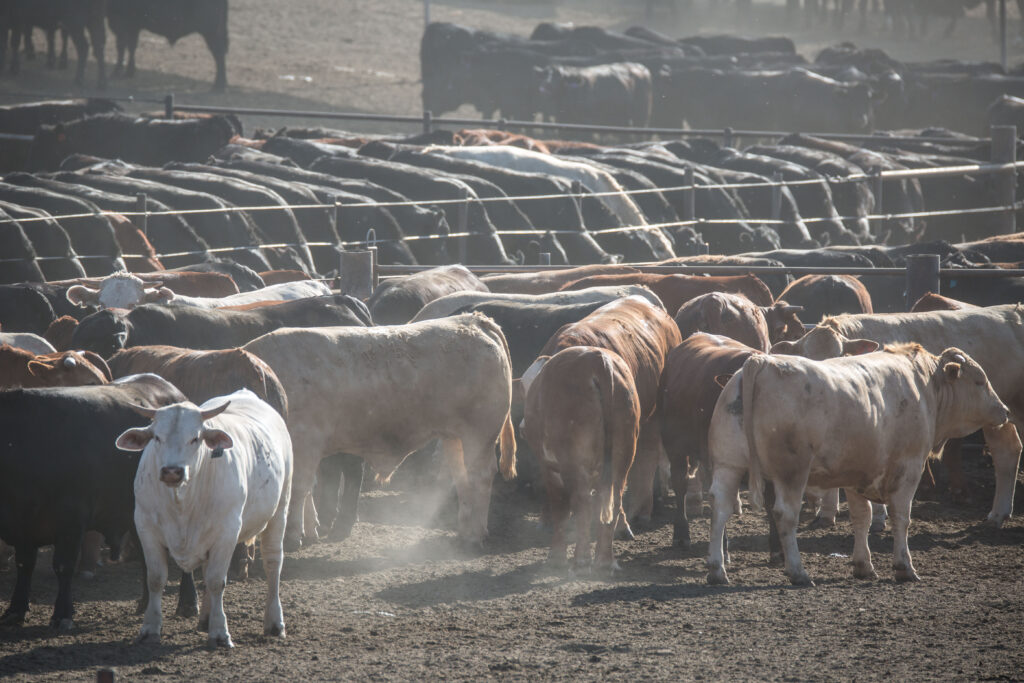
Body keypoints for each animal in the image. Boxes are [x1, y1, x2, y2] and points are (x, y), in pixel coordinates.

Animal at [0, 374, 186, 630]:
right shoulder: (23, 525)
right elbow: (24, 564)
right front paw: (15, 610)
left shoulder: (71, 518)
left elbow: (63, 565)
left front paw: (63, 614)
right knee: (147, 557)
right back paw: (146, 603)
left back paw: (188, 605)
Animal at [117, 390, 291, 647]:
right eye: (156, 437)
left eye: (195, 438)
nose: (172, 471)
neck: (182, 501)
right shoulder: (145, 527)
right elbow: (156, 579)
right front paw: (149, 629)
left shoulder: (227, 532)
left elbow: (217, 581)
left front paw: (219, 633)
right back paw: (206, 618)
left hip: (280, 510)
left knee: (273, 563)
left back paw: (275, 622)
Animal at [242, 313, 516, 550]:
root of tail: (475, 320)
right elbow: (307, 490)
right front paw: (310, 529)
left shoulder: (306, 441)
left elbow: (298, 489)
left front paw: (292, 536)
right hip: (455, 436)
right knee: (461, 477)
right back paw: (465, 531)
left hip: (479, 434)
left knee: (480, 475)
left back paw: (474, 535)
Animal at [521, 346, 640, 573]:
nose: (522, 427)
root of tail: (597, 359)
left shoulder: (550, 469)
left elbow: (560, 508)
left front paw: (556, 556)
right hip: (623, 458)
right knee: (613, 500)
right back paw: (604, 561)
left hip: (572, 462)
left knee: (582, 502)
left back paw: (582, 560)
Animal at [706, 345, 1008, 586]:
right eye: (980, 381)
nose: (1004, 410)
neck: (925, 386)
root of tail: (761, 363)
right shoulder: (909, 467)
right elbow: (901, 516)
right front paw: (904, 566)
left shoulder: (855, 473)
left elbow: (862, 517)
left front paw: (864, 565)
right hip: (791, 472)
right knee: (785, 515)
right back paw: (798, 572)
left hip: (727, 464)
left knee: (720, 508)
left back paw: (717, 570)